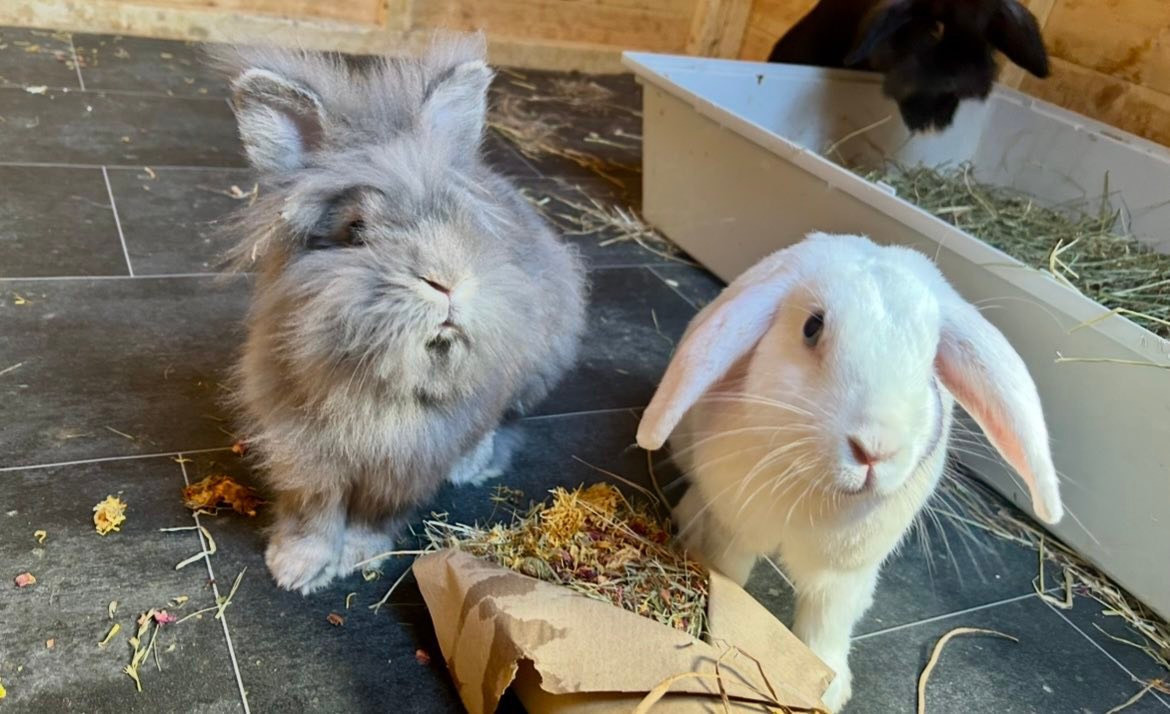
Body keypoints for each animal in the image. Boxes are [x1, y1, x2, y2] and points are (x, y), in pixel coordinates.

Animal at [209, 34, 588, 595]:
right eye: (356, 230)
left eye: (458, 219)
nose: (446, 280)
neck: (381, 388)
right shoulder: (305, 456)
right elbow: (313, 514)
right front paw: (295, 570)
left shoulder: (404, 468)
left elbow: (372, 514)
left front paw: (357, 557)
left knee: (497, 419)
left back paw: (471, 466)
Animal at [636, 233, 1062, 712]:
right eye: (812, 327)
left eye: (932, 361)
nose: (875, 449)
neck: (815, 489)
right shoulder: (736, 530)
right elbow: (734, 582)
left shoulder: (842, 573)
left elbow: (826, 623)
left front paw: (830, 691)